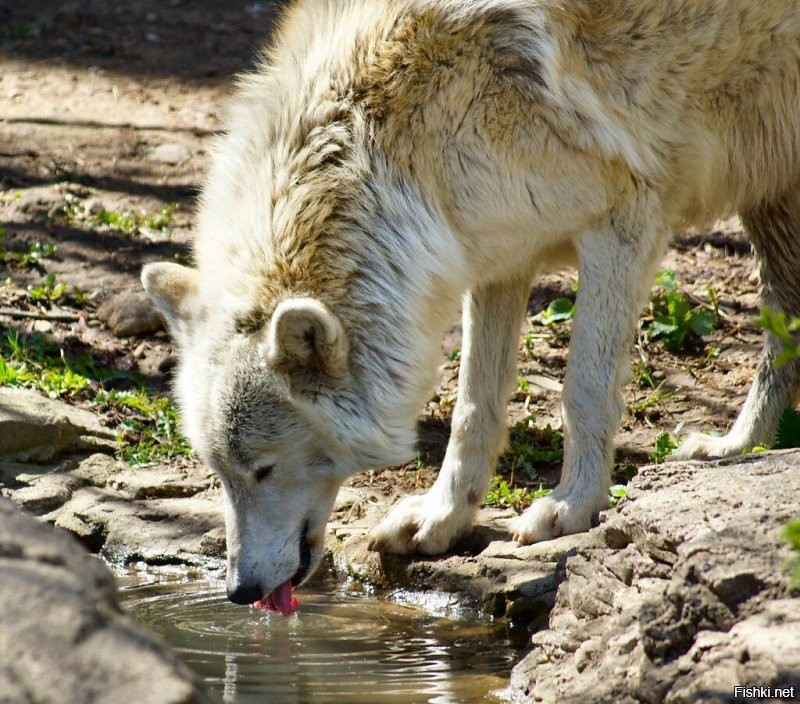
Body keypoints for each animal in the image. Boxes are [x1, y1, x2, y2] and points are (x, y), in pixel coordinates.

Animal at [142, 1, 800, 612]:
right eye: (220, 473)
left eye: (263, 469)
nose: (238, 591)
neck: (396, 134)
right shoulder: (496, 255)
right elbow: (473, 405)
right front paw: (441, 519)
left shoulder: (623, 222)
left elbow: (584, 390)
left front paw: (571, 508)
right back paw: (736, 449)